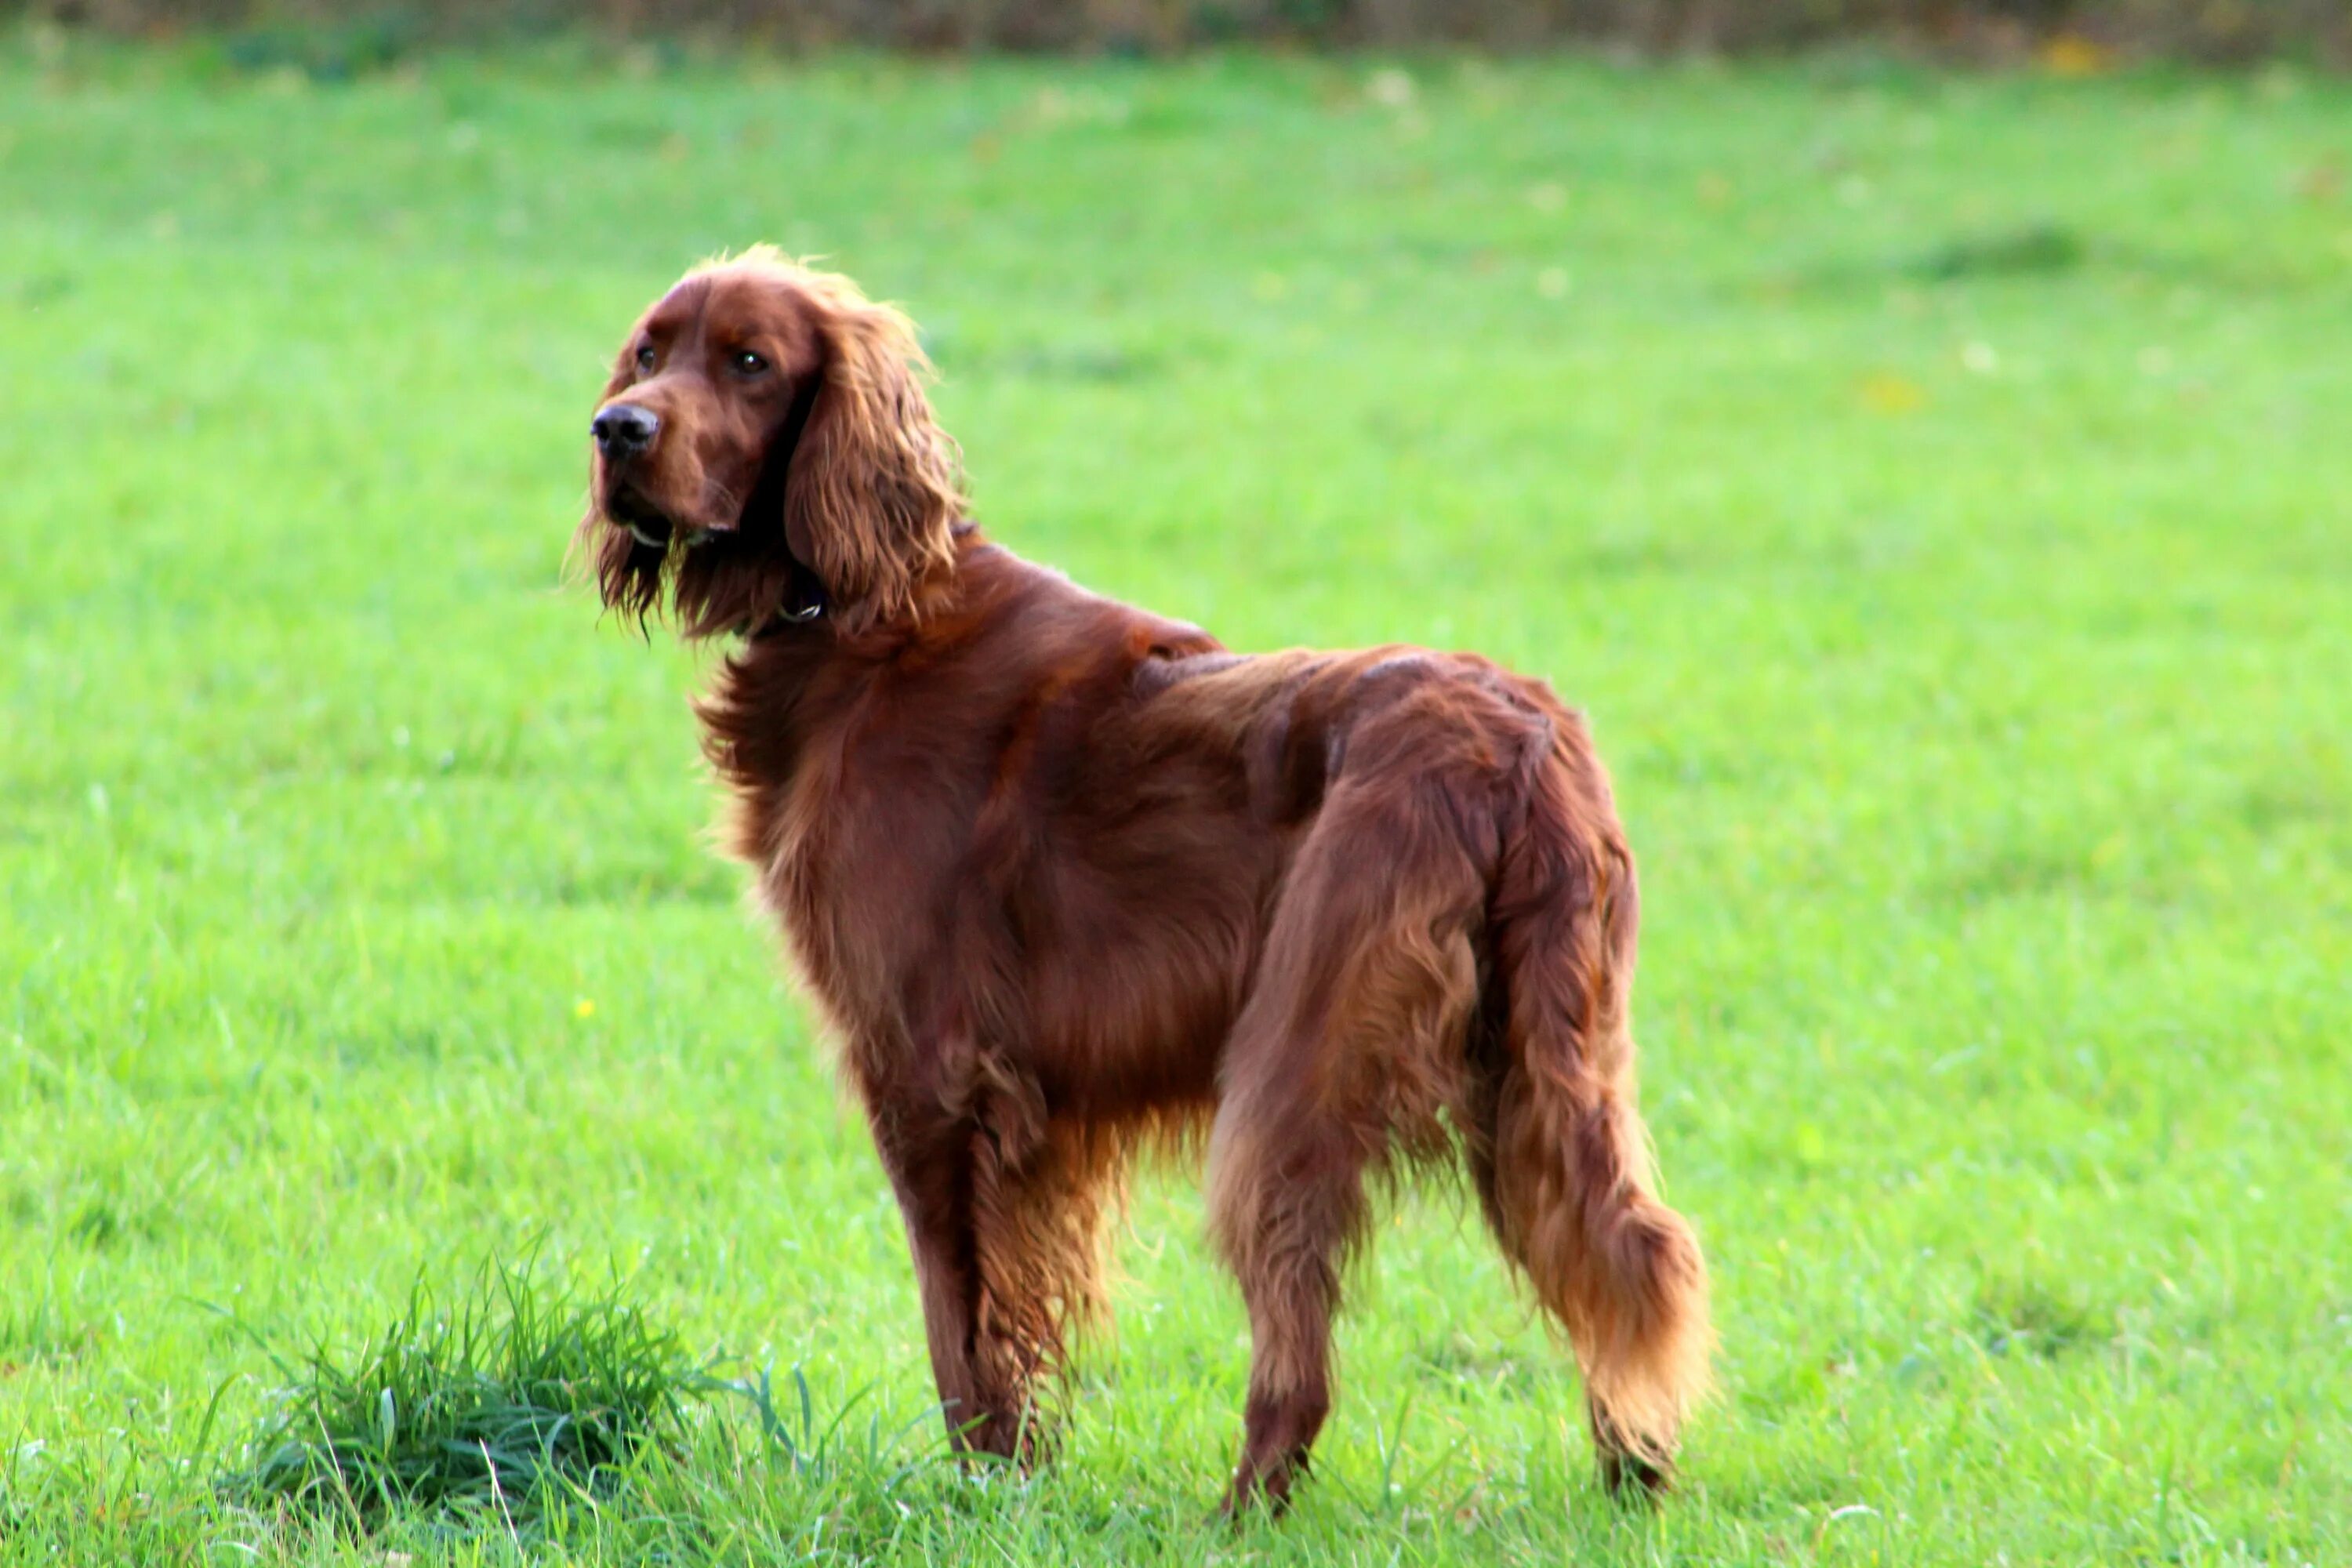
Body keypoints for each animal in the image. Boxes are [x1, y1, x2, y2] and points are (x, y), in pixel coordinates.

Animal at [569, 251, 1712, 1514]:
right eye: (650, 351)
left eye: (751, 361)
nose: (617, 429)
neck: (860, 608)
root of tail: (1517, 742)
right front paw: (1023, 1475)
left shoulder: (925, 1074)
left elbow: (957, 1322)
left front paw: (982, 1494)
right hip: (1546, 1061)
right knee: (1631, 1248)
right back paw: (1632, 1471)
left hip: (1296, 1066)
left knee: (1303, 1333)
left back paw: (1244, 1508)